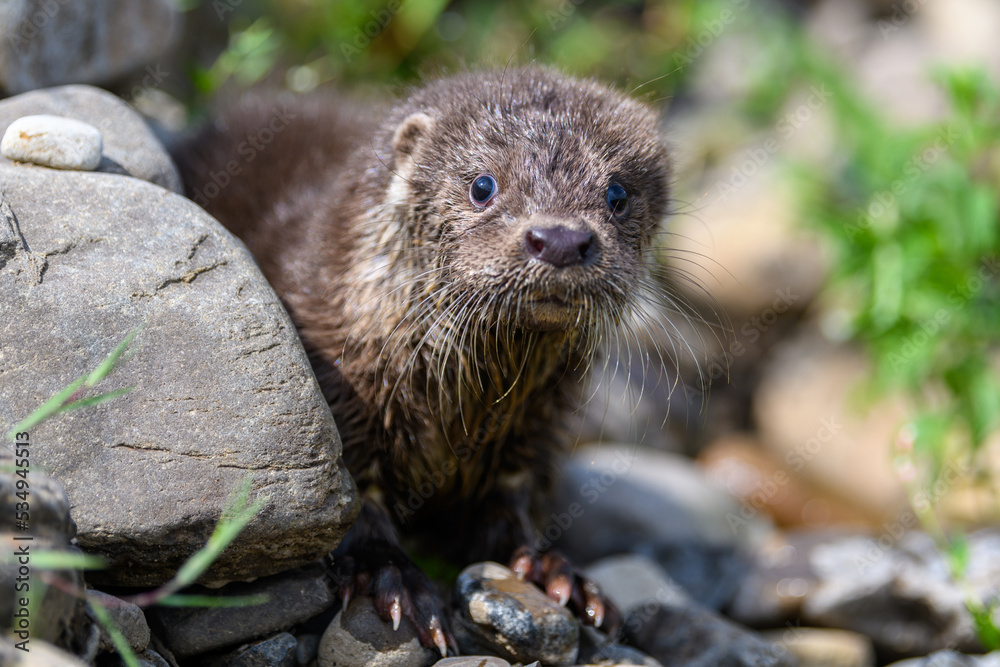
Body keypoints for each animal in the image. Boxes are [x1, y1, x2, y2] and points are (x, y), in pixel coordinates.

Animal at [178, 65, 680, 656]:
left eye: (617, 192)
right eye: (482, 185)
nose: (559, 238)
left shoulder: (534, 430)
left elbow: (511, 506)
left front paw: (557, 572)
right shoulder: (341, 396)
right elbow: (353, 507)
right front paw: (395, 577)